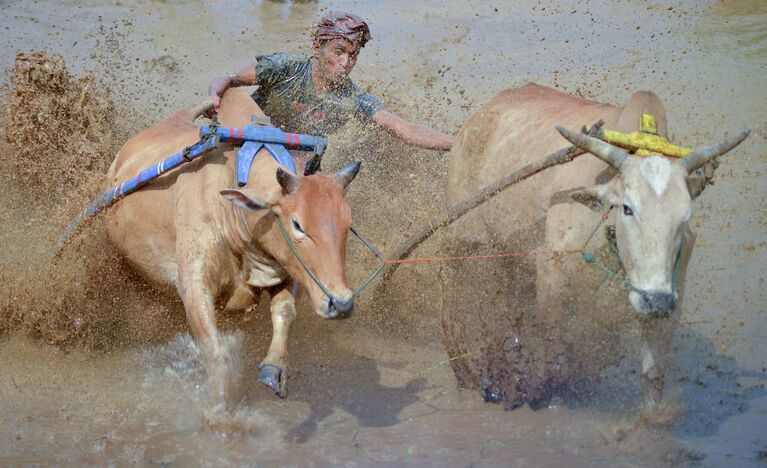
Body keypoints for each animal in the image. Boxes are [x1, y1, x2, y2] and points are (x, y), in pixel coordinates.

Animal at [103, 89, 362, 404]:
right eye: (297, 224)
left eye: (347, 223)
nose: (341, 302)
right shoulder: (194, 283)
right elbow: (215, 348)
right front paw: (221, 403)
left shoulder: (288, 269)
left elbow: (284, 311)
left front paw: (273, 369)